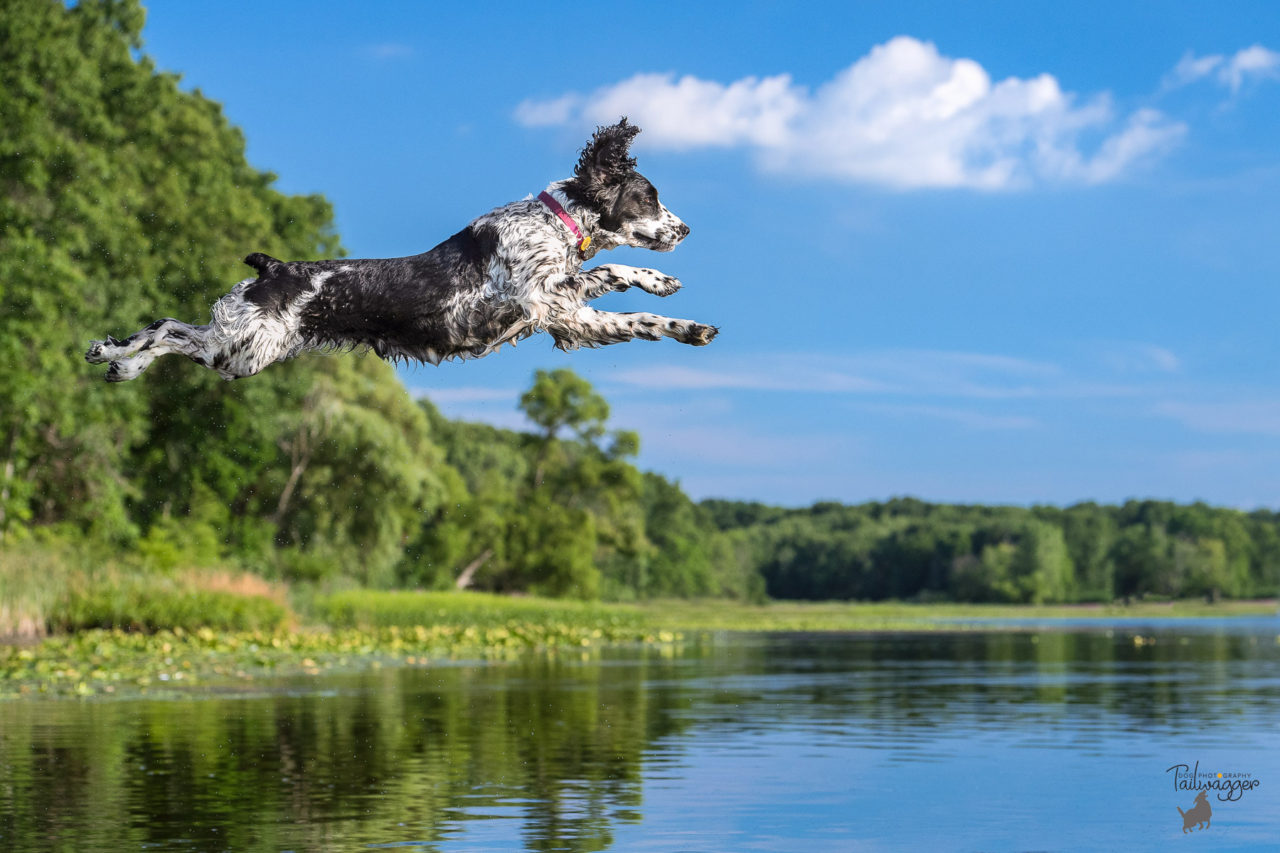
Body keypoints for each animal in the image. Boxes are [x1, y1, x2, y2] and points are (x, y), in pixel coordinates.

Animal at [85, 119, 716, 381]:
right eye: (649, 197)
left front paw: (683, 316)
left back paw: (117, 359)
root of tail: (275, 268)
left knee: (169, 325)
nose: (686, 230)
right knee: (169, 331)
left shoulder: (565, 317)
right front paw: (669, 296)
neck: (553, 223)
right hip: (242, 350)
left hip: (243, 345)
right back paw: (118, 357)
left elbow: (629, 301)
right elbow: (618, 279)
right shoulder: (545, 301)